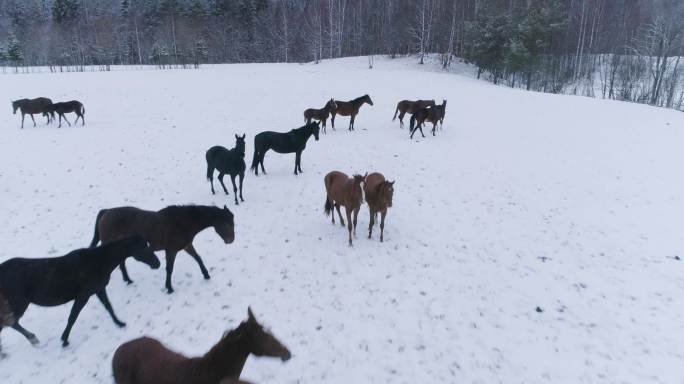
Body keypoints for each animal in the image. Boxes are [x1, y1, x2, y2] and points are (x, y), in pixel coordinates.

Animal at [0, 237, 160, 348]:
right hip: (18, 304)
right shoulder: (83, 296)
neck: (99, 261)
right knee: (11, 323)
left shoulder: (99, 290)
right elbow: (73, 317)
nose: (157, 263)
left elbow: (108, 306)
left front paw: (120, 323)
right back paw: (32, 339)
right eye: (143, 247)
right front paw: (64, 340)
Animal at [91, 206, 235, 292]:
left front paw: (206, 275)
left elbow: (198, 258)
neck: (183, 222)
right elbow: (169, 269)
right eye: (227, 224)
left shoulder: (187, 246)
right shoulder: (171, 250)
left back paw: (128, 280)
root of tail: (106, 212)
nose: (231, 240)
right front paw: (169, 288)